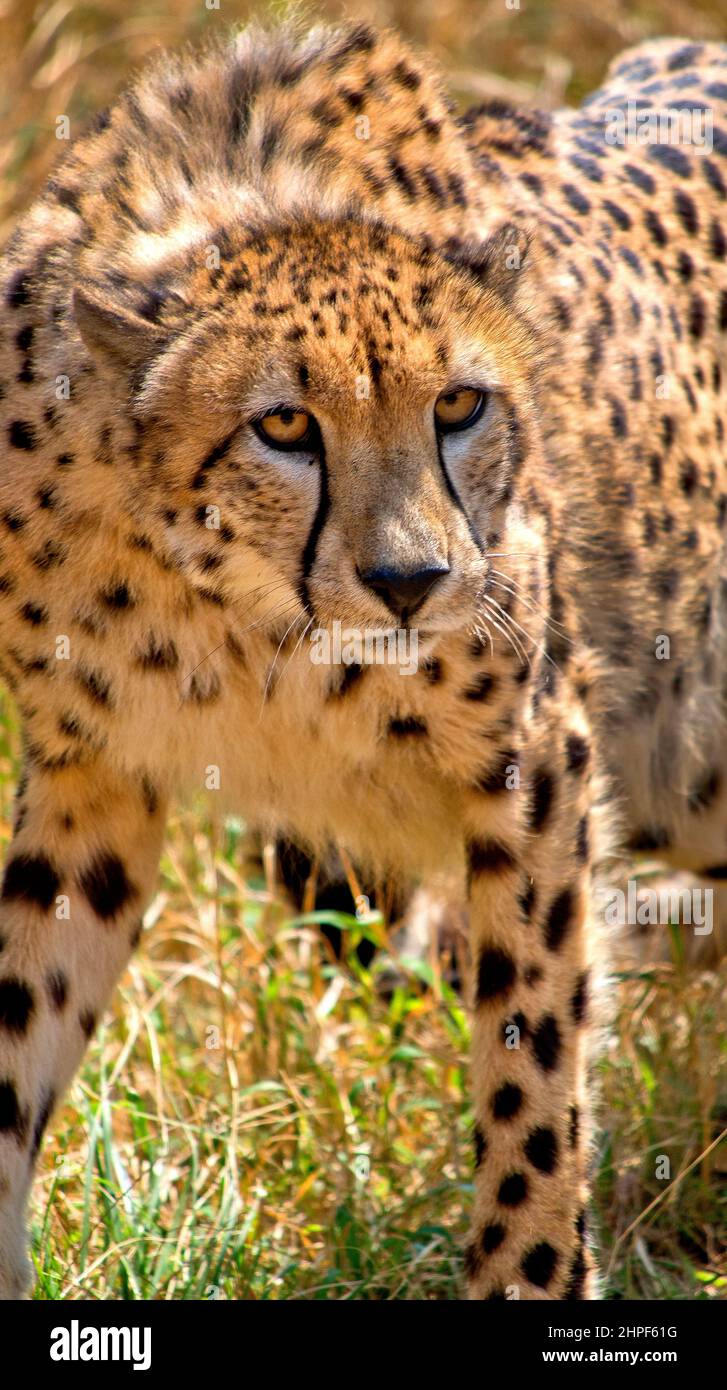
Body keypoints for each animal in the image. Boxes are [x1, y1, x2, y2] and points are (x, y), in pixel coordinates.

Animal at [1, 17, 726, 1301]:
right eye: (284, 424)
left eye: (460, 405)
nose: (411, 581)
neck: (237, 613)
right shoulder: (95, 777)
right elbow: (13, 1034)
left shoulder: (537, 765)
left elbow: (531, 1062)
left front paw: (531, 1273)